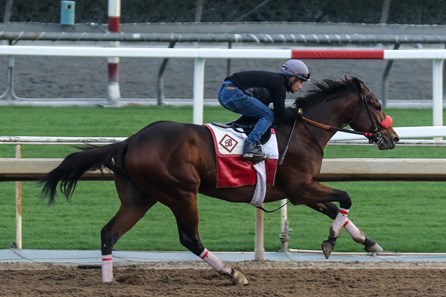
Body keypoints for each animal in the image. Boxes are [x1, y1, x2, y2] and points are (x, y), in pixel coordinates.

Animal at [40, 76, 398, 284]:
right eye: (377, 104)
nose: (392, 137)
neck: (305, 131)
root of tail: (130, 141)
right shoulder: (300, 188)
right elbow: (345, 197)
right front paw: (332, 241)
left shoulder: (301, 190)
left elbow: (336, 209)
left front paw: (366, 242)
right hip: (181, 193)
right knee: (189, 238)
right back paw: (232, 272)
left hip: (140, 198)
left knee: (109, 233)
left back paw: (108, 281)